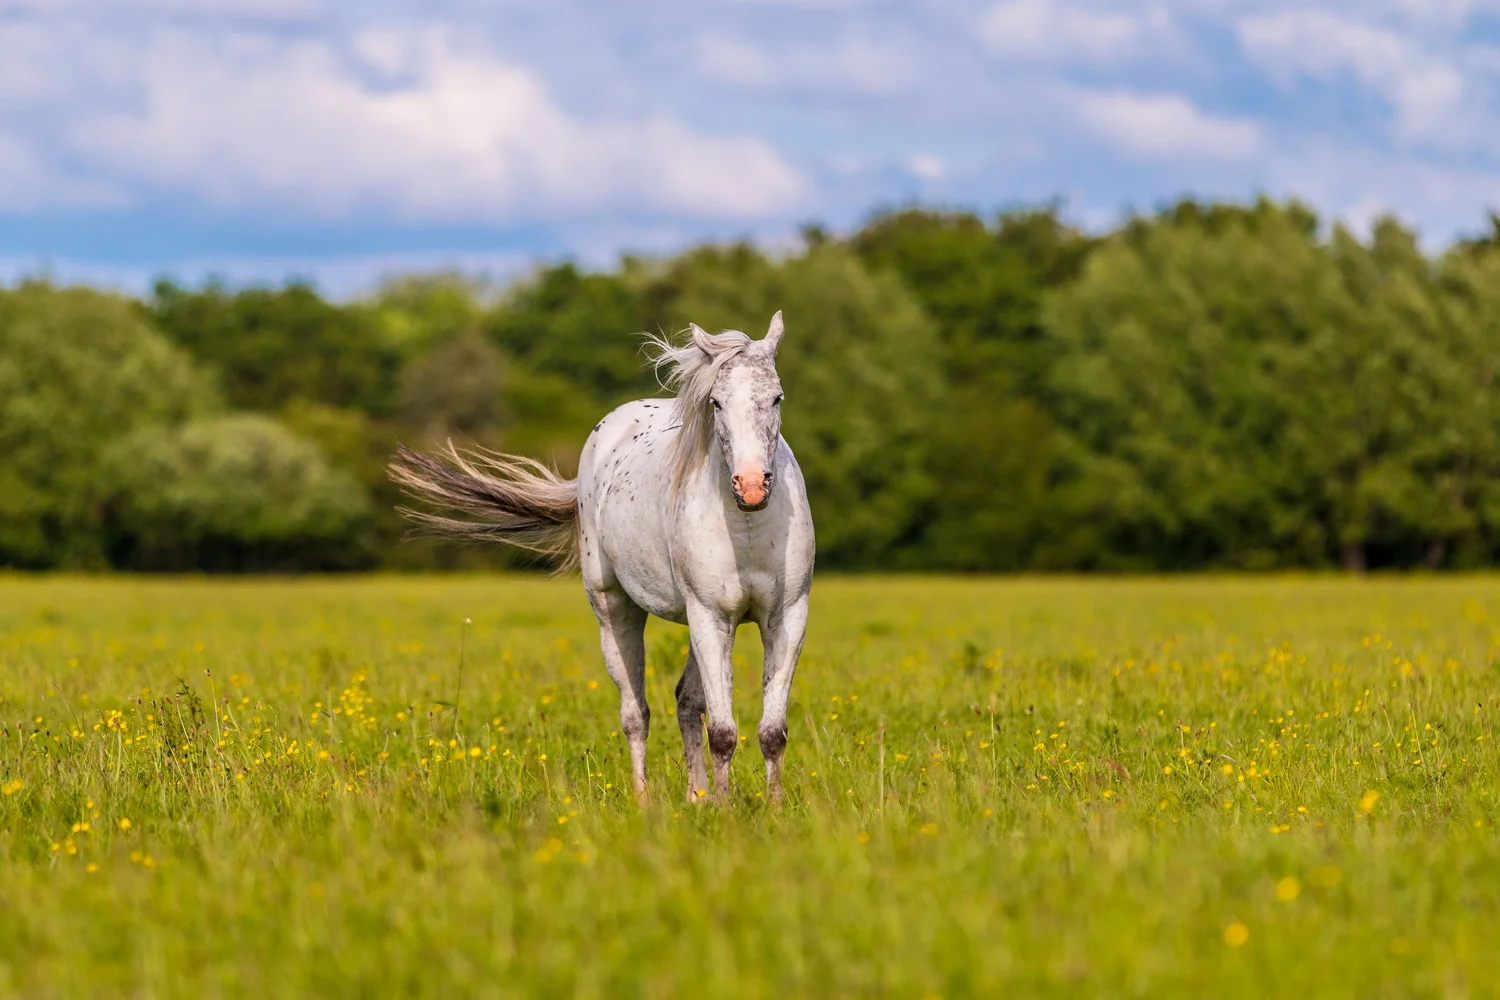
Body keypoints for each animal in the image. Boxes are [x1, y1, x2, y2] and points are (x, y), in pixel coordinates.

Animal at [389, 312, 815, 804]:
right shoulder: (711, 617)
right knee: (636, 713)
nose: (750, 486)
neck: (746, 531)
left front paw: (773, 810)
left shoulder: (786, 617)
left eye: (776, 397)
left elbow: (772, 732)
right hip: (616, 609)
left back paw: (696, 797)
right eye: (716, 403)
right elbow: (724, 734)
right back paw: (646, 801)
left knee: (687, 701)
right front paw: (726, 813)